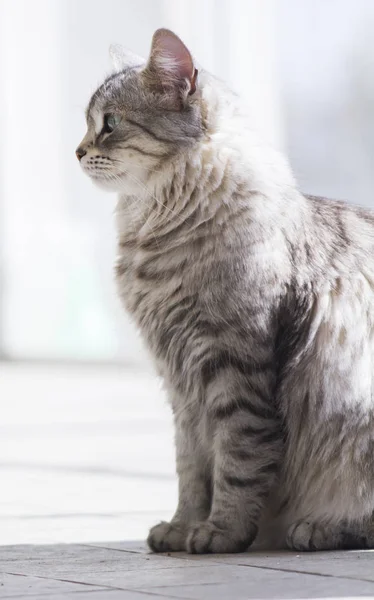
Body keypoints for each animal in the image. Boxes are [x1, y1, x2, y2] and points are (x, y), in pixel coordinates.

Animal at [76, 27, 374, 552]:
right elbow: (192, 467)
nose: (75, 150)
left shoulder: (234, 363)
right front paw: (181, 527)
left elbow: (238, 457)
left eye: (109, 124)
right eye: (89, 123)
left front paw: (222, 530)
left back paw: (321, 527)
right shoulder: (181, 382)